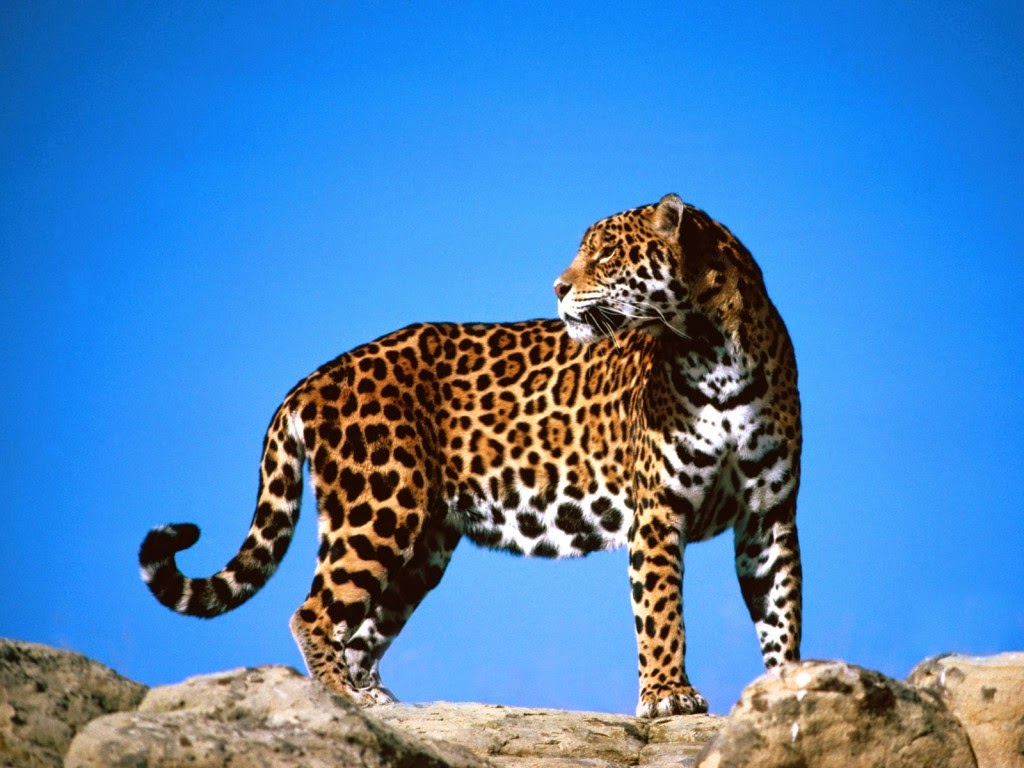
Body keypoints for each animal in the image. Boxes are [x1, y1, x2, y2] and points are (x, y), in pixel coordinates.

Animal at [139, 194, 803, 717]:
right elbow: (661, 608)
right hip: (378, 507)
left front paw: (785, 693)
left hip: (422, 546)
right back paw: (342, 699)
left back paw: (375, 698)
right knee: (314, 612)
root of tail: (315, 377)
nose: (558, 288)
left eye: (606, 254)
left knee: (363, 628)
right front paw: (668, 695)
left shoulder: (768, 516)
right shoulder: (659, 511)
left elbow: (782, 611)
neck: (714, 350)